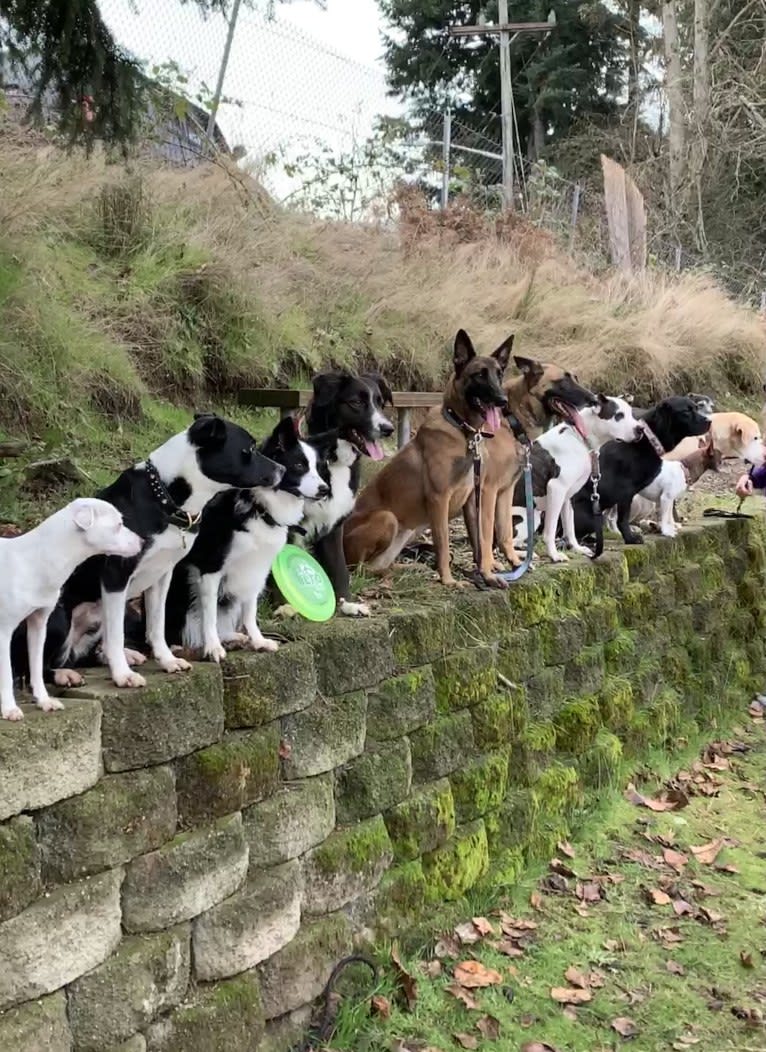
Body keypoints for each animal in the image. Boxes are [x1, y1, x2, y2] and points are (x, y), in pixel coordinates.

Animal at [0, 496, 140, 719]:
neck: (36, 560)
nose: (142, 542)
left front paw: (45, 701)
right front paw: (10, 709)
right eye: (118, 525)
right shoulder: (4, 631)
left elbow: (36, 666)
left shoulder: (39, 624)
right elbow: (5, 673)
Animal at [166, 416, 330, 656]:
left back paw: (233, 638)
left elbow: (250, 612)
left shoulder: (256, 570)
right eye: (299, 465)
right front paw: (213, 647)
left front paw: (258, 640)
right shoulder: (210, 568)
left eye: (318, 468)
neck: (260, 509)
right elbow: (209, 613)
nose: (325, 490)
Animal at [294, 370, 397, 614]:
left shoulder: (332, 525)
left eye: (380, 402)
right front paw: (285, 605)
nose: (388, 429)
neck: (332, 460)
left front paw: (346, 604)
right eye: (356, 403)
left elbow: (339, 570)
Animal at [345, 330, 511, 589]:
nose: (503, 400)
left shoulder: (472, 499)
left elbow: (481, 541)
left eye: (499, 374)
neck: (463, 432)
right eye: (479, 375)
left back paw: (408, 568)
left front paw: (487, 574)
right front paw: (449, 580)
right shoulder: (439, 498)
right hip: (387, 518)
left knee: (376, 566)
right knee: (359, 569)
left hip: (407, 531)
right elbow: (443, 544)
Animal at [572, 395, 707, 542]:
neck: (648, 437)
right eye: (686, 412)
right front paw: (630, 538)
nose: (709, 421)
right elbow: (622, 519)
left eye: (696, 407)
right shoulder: (626, 490)